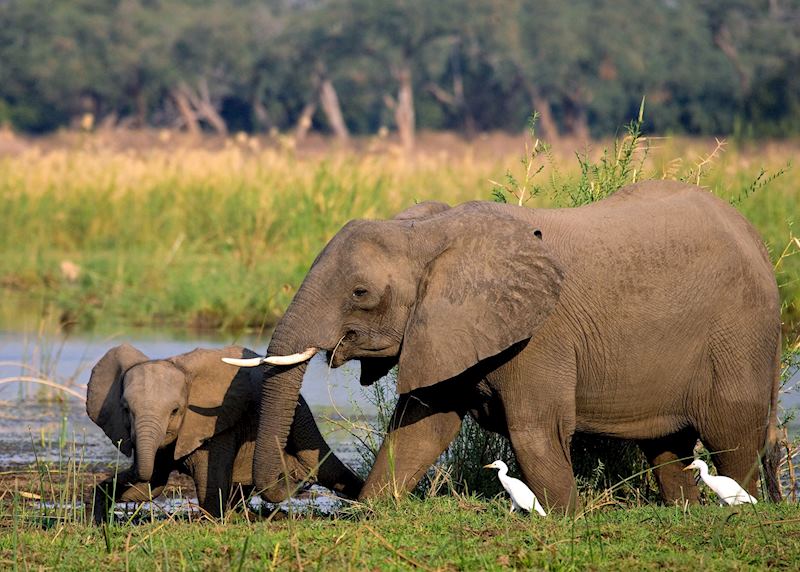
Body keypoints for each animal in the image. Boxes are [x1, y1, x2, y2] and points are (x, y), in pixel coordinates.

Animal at [86, 344, 362, 523]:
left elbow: (207, 481)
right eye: (125, 410)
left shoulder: (216, 426)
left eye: (175, 410)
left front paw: (212, 521)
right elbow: (150, 486)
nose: (300, 481)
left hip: (300, 415)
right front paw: (99, 518)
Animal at [240, 180, 782, 512]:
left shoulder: (539, 336)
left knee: (733, 436)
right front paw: (375, 510)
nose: (292, 482)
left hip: (739, 333)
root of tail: (756, 238)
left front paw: (564, 519)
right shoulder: (445, 330)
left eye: (360, 293)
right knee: (668, 448)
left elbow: (535, 432)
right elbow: (420, 429)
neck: (428, 234)